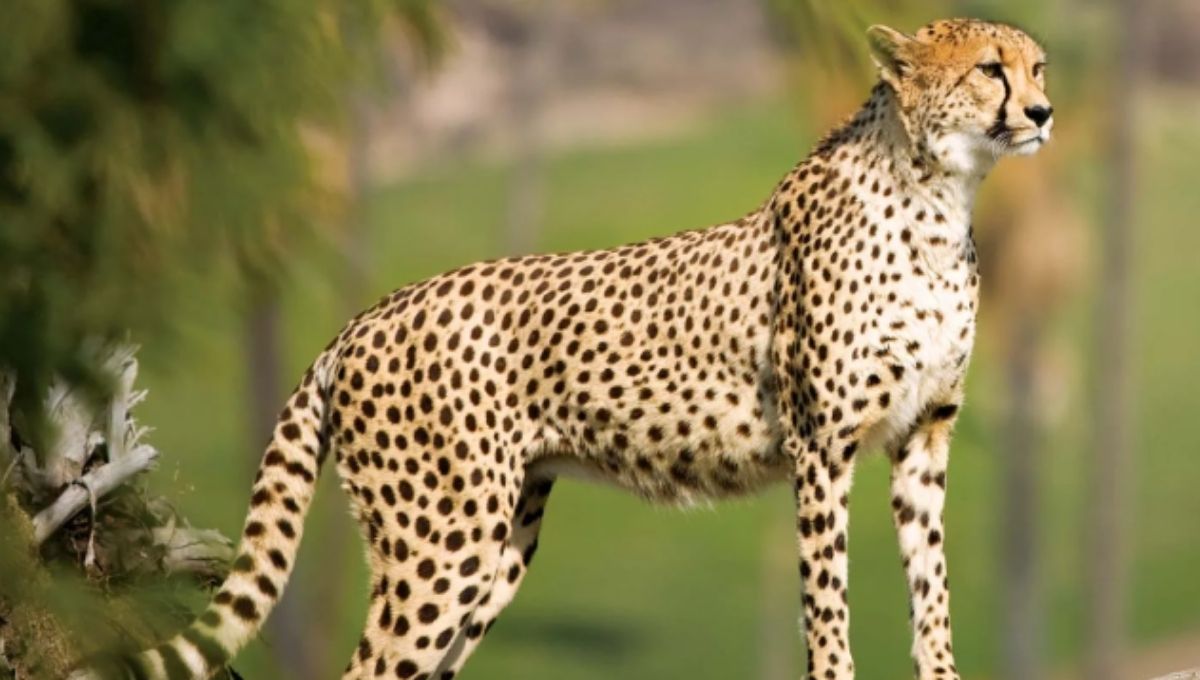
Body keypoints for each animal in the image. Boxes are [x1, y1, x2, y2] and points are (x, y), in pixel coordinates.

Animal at [75, 17, 1052, 680]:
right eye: (988, 70)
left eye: (1036, 65)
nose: (1044, 110)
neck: (938, 195)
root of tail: (362, 319)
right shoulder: (823, 447)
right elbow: (828, 596)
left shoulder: (923, 437)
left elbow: (931, 586)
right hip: (440, 543)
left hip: (496, 543)